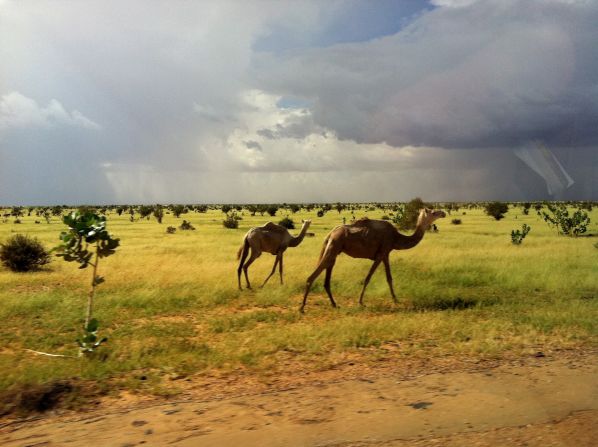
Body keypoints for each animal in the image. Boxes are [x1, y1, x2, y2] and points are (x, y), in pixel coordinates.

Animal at [302, 209, 448, 312]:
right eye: (433, 212)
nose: (443, 213)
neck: (396, 238)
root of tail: (330, 234)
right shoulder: (380, 254)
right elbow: (368, 277)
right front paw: (360, 302)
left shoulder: (386, 254)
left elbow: (389, 278)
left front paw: (396, 299)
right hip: (334, 246)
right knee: (312, 276)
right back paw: (302, 308)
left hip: (333, 250)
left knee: (326, 278)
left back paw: (334, 304)